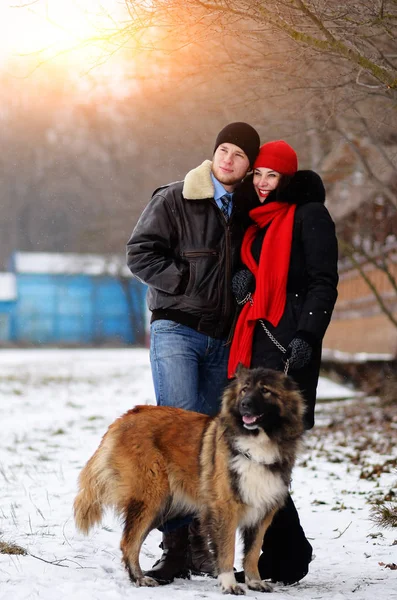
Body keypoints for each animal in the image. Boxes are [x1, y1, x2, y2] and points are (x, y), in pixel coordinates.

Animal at [73, 366, 304, 596]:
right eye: (244, 390)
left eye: (265, 390)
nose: (244, 405)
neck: (256, 442)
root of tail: (125, 417)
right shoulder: (225, 508)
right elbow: (227, 549)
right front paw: (229, 584)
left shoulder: (262, 510)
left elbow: (253, 552)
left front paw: (254, 581)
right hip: (152, 498)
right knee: (129, 542)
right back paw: (140, 579)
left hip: (164, 504)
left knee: (132, 540)